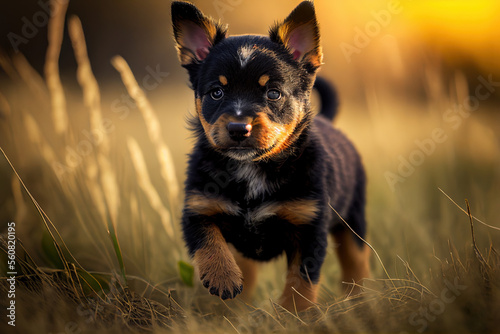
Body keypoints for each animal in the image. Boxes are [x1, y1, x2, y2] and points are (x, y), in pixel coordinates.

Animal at [172, 0, 372, 310]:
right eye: (216, 92)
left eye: (273, 93)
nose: (238, 127)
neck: (252, 168)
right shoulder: (198, 208)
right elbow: (209, 243)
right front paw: (223, 278)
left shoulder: (309, 226)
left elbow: (302, 279)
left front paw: (295, 312)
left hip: (353, 219)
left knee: (356, 261)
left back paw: (361, 300)